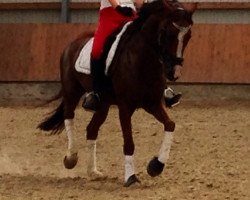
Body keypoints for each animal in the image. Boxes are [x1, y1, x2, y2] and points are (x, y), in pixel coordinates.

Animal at [38, 0, 196, 187]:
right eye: (166, 32)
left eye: (188, 36)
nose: (174, 73)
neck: (143, 60)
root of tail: (72, 44)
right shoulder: (125, 106)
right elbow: (129, 142)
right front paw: (131, 177)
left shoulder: (152, 103)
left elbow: (170, 125)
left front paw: (156, 166)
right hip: (72, 92)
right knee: (68, 117)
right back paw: (71, 158)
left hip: (104, 104)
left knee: (91, 129)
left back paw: (93, 171)